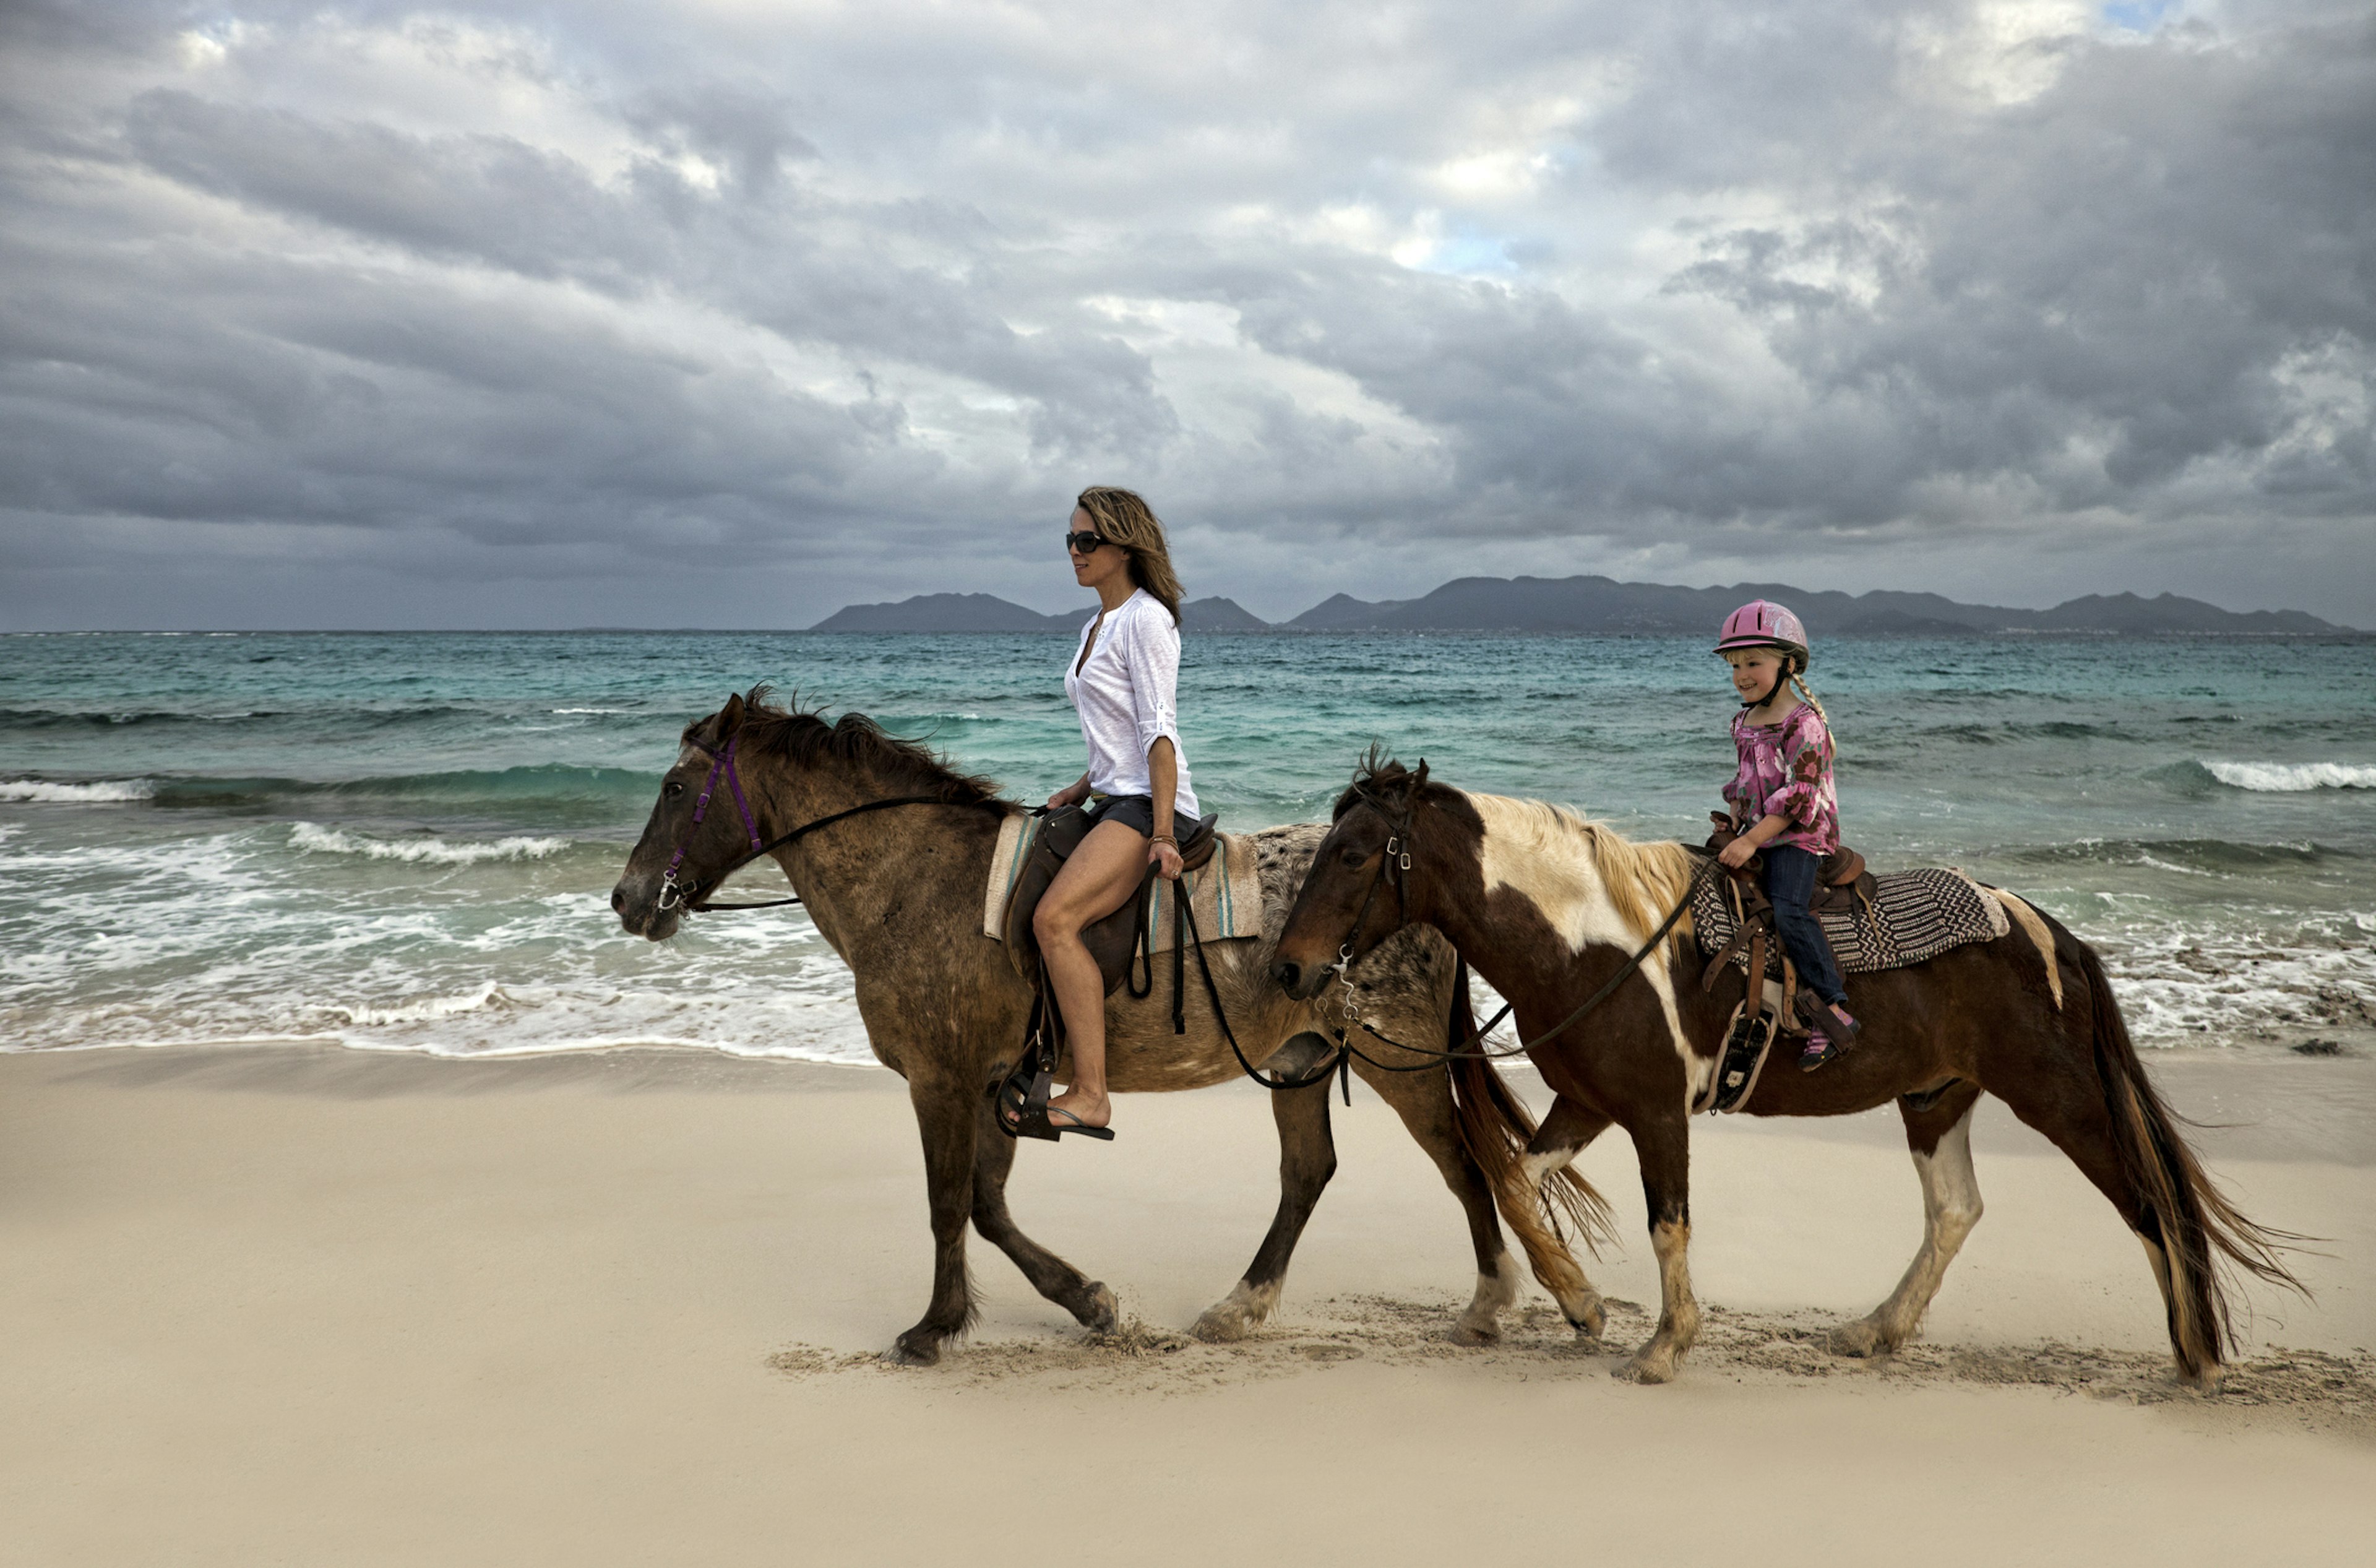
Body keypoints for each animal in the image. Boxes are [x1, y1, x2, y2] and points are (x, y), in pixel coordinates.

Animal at [622, 694, 1606, 1368]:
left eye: (674, 787)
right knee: (1308, 1174)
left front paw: (935, 1328)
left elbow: (948, 1203)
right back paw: (1240, 1306)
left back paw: (1493, 1304)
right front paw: (1088, 1301)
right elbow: (986, 1205)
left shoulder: (943, 1078)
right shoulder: (996, 1080)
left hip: (1395, 1060)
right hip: (1299, 1059)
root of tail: (1425, 898)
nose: (629, 899)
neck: (918, 878)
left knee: (1465, 1165)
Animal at [1283, 760, 2300, 1387]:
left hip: (2061, 1099)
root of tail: (2050, 929)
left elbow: (1667, 1225)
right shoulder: (1588, 1099)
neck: (1591, 942)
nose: (1290, 969)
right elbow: (1515, 1181)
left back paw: (2198, 1358)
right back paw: (1875, 1330)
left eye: (1355, 852)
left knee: (2146, 1199)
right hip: (1936, 1097)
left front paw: (1663, 1347)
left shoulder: (1658, 1112)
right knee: (1956, 1209)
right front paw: (1577, 1302)